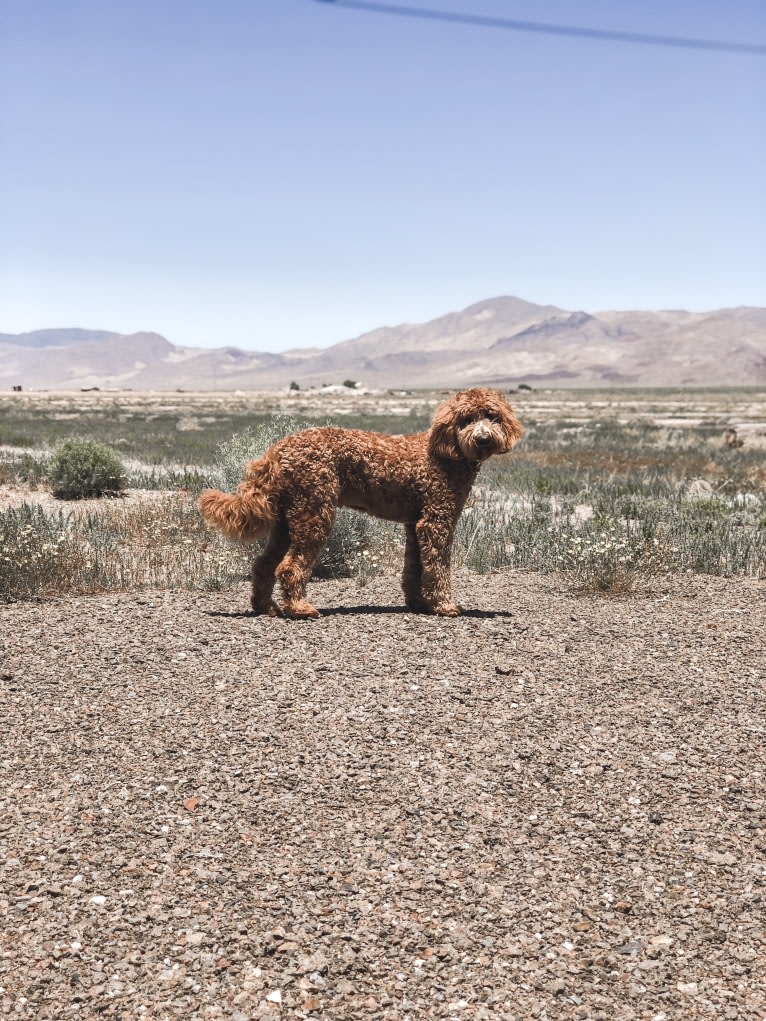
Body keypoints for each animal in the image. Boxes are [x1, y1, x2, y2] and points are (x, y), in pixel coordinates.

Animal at [198, 385, 527, 616]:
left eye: (493, 417)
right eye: (467, 419)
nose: (483, 439)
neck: (447, 453)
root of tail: (277, 451)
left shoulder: (415, 525)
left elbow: (414, 569)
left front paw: (418, 603)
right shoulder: (436, 521)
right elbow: (437, 567)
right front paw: (445, 606)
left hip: (287, 521)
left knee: (264, 564)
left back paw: (266, 607)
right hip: (314, 513)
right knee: (289, 567)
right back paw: (300, 609)